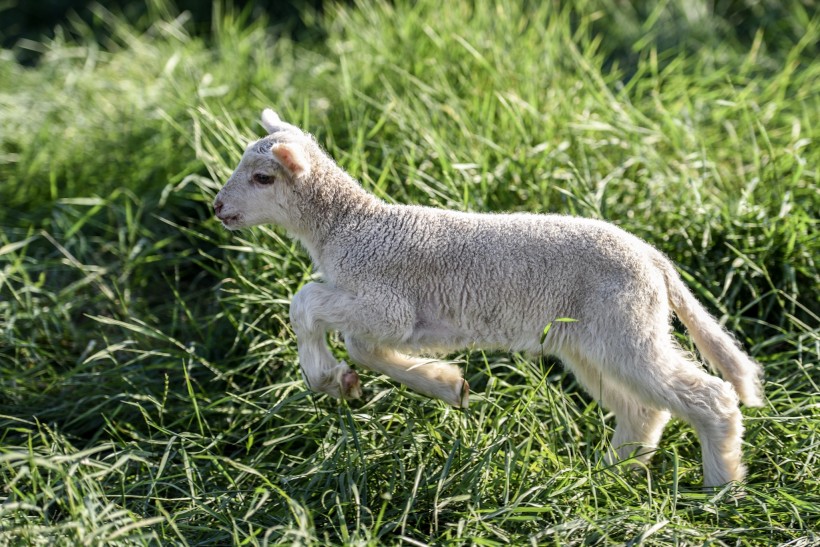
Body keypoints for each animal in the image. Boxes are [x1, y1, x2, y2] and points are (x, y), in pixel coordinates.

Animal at [215, 109, 764, 486]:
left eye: (263, 177)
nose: (217, 207)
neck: (348, 229)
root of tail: (655, 259)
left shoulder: (386, 302)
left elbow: (306, 302)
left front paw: (326, 376)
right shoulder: (390, 316)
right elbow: (362, 347)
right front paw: (441, 385)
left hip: (626, 328)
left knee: (710, 398)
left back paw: (720, 491)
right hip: (588, 343)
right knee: (642, 411)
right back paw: (605, 476)